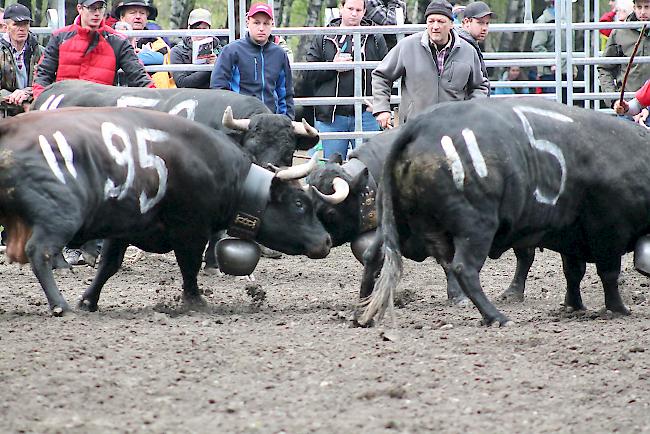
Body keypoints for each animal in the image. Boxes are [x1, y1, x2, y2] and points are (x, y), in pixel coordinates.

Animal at [0, 105, 332, 316]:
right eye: (299, 204)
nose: (326, 240)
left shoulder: (123, 229)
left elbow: (109, 266)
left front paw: (88, 300)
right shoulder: (191, 230)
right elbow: (189, 266)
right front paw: (195, 301)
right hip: (59, 216)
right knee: (41, 252)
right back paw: (60, 305)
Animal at [306, 126, 536, 302]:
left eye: (329, 212)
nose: (322, 242)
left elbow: (447, 260)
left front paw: (457, 295)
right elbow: (370, 254)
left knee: (525, 256)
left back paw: (512, 292)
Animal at [356, 98, 648, 328]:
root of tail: (418, 126)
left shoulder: (572, 234)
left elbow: (573, 272)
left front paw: (573, 305)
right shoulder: (608, 231)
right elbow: (608, 274)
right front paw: (618, 309)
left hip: (398, 222)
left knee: (374, 256)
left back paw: (361, 312)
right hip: (476, 227)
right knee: (464, 268)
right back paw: (497, 316)